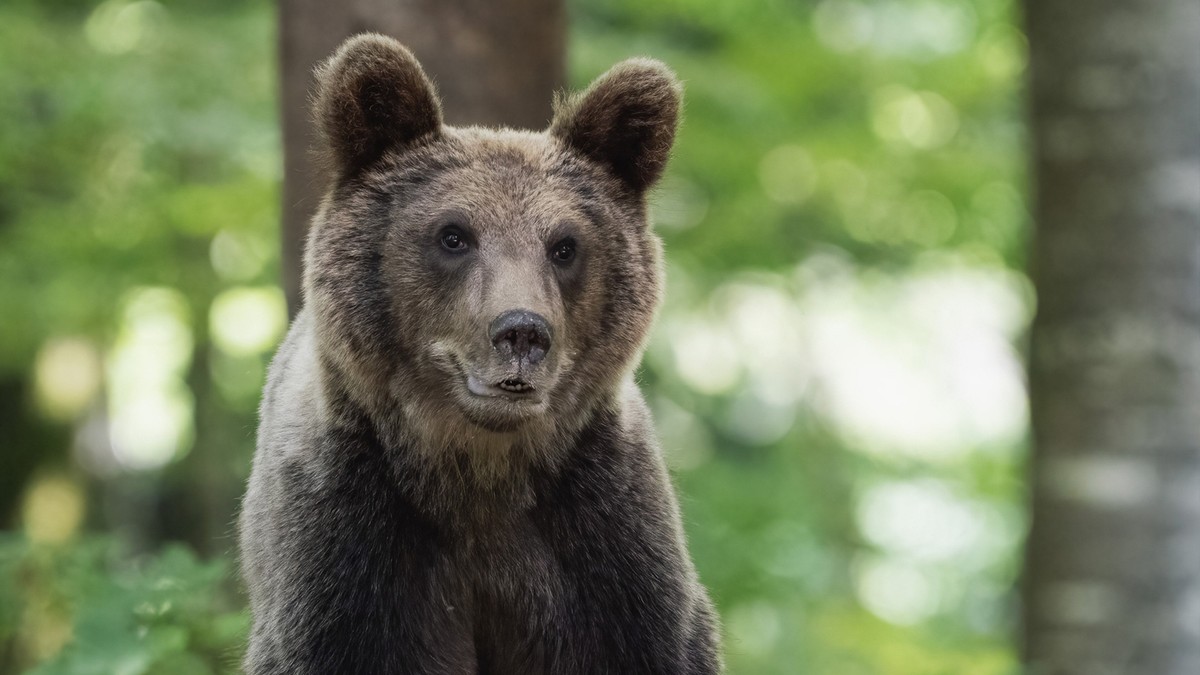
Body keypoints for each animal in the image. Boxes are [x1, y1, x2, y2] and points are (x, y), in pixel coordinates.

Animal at [235, 32, 720, 672]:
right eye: (453, 235)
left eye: (564, 245)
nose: (522, 333)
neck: (479, 471)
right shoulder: (347, 549)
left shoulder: (606, 543)